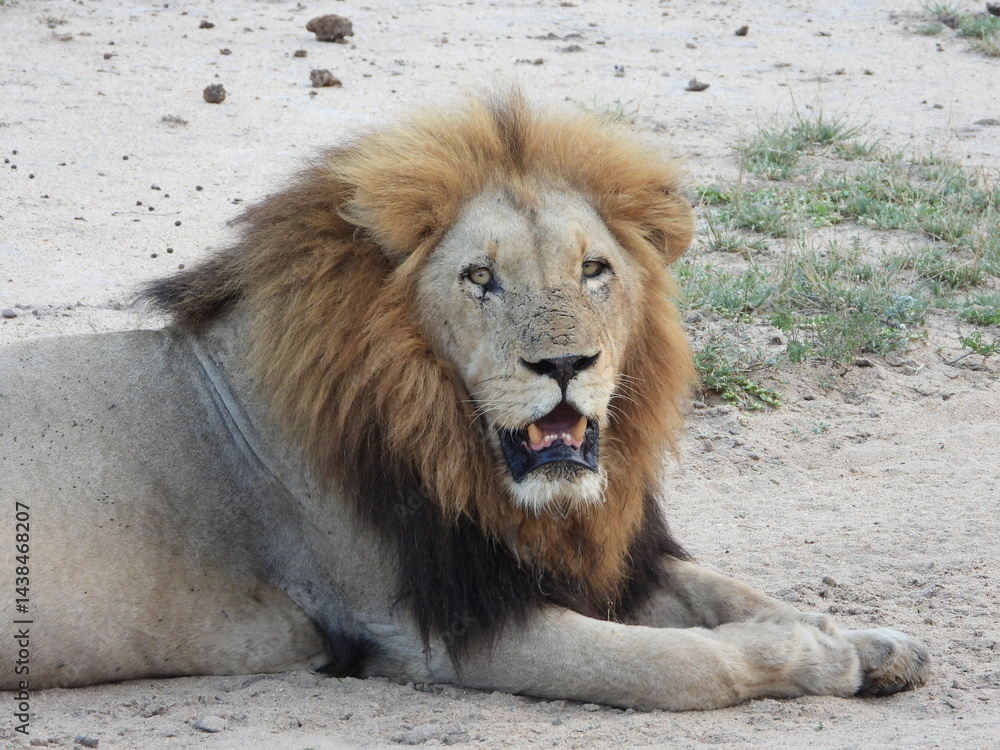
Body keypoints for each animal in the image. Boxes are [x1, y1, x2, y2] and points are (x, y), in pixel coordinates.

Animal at [0, 92, 929, 710]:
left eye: (595, 269)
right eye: (480, 278)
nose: (565, 362)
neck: (452, 444)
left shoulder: (554, 559)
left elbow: (727, 589)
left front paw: (868, 640)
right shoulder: (433, 632)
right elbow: (679, 665)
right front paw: (809, 652)